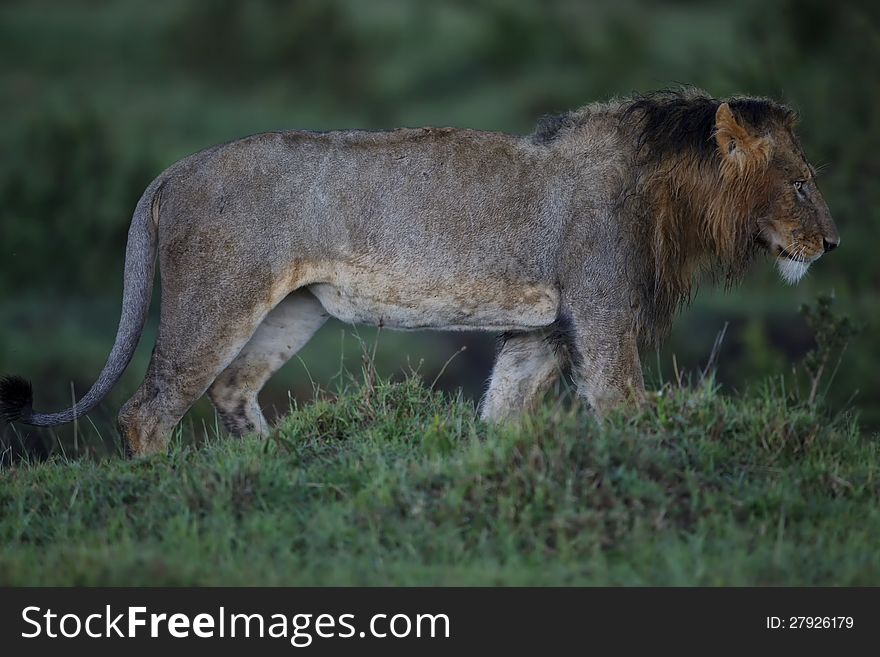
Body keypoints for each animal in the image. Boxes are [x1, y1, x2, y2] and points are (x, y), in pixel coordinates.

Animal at [0, 88, 840, 456]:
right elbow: (628, 410)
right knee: (149, 410)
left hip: (294, 307)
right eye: (803, 184)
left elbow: (504, 412)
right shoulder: (602, 317)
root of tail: (174, 169)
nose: (832, 244)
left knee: (232, 388)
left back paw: (267, 469)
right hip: (219, 297)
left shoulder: (545, 330)